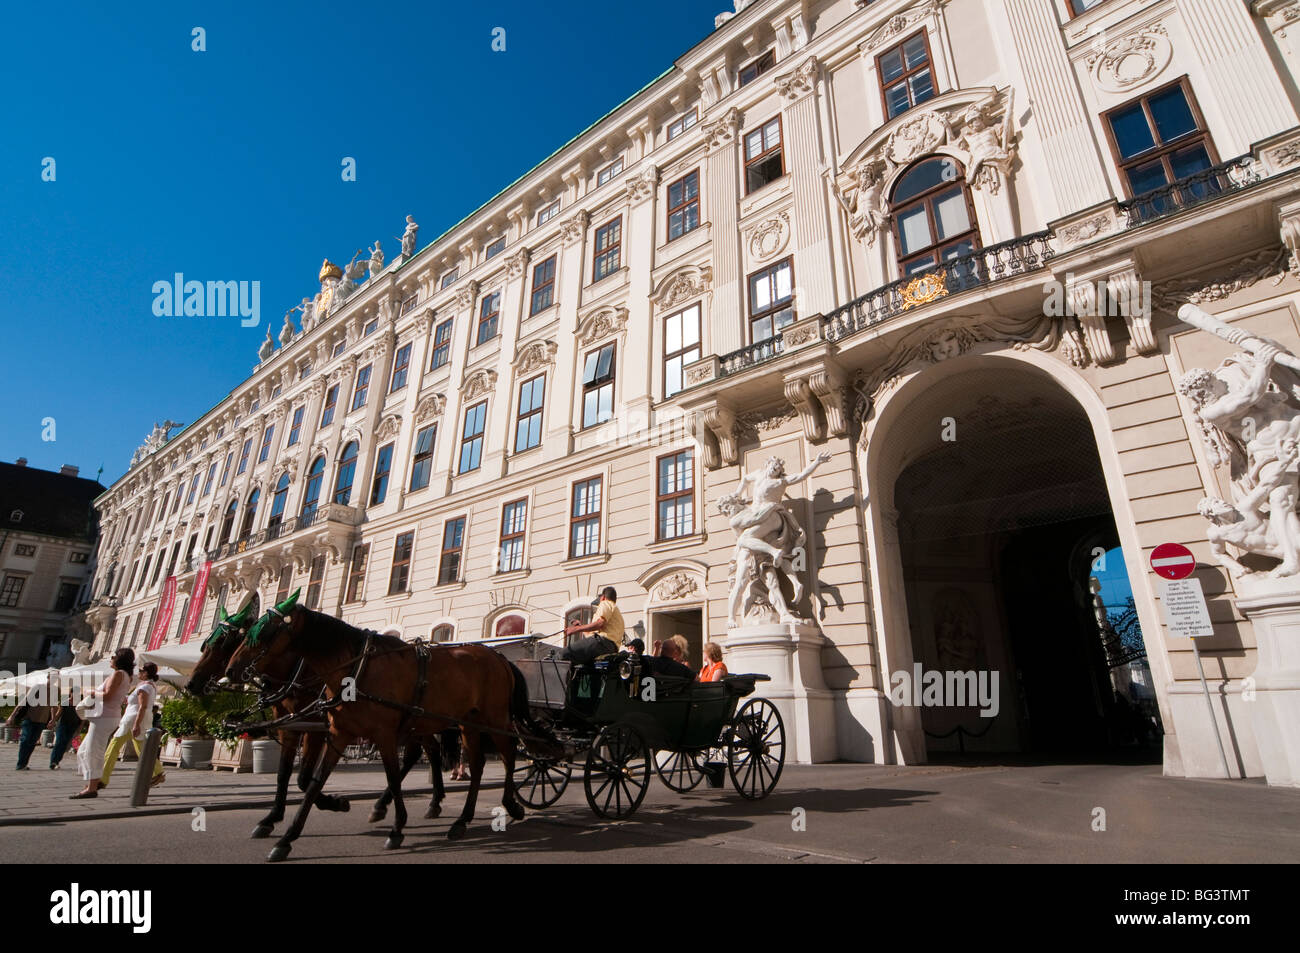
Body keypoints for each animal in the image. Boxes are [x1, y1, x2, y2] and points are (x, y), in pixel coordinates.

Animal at [180, 605, 449, 837]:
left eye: (223, 643)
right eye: (206, 644)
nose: (191, 683)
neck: (298, 670)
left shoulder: (316, 729)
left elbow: (304, 778)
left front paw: (336, 803)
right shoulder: (290, 727)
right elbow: (284, 774)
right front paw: (271, 818)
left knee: (421, 752)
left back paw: (415, 803)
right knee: (425, 751)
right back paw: (411, 803)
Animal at [223, 590, 538, 858]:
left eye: (265, 631)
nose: (230, 671)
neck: (355, 669)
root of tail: (498, 656)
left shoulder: (382, 735)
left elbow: (392, 777)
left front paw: (396, 828)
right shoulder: (338, 735)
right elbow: (311, 783)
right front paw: (287, 837)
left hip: (494, 719)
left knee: (508, 754)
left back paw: (510, 804)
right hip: (465, 725)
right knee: (476, 765)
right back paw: (461, 820)